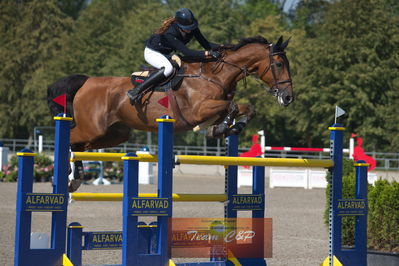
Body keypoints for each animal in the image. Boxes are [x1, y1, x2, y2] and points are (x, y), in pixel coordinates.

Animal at [48, 35, 296, 191]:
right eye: (279, 64)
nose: (288, 97)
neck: (215, 74)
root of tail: (87, 81)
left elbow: (245, 108)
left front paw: (231, 127)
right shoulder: (199, 111)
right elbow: (233, 107)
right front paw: (222, 128)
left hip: (114, 134)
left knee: (80, 146)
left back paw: (75, 178)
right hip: (94, 128)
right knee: (71, 140)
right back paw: (68, 174)